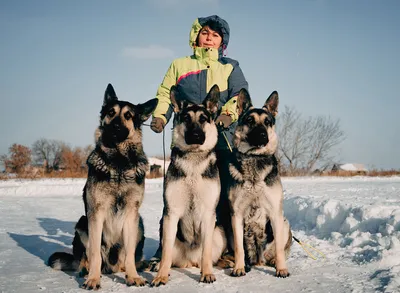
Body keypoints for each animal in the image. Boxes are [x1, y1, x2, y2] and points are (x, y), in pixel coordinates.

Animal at [48, 83, 158, 288]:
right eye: (111, 112)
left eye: (128, 116)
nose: (114, 127)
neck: (119, 164)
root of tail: (110, 267)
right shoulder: (96, 214)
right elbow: (94, 254)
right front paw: (93, 279)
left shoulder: (131, 213)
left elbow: (130, 254)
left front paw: (132, 276)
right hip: (83, 223)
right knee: (87, 257)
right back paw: (85, 271)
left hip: (139, 223)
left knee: (127, 258)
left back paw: (137, 266)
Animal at [150, 84, 227, 286]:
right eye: (186, 118)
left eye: (203, 119)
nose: (196, 135)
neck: (193, 160)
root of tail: (190, 261)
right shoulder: (171, 214)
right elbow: (166, 253)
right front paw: (161, 276)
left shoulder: (208, 214)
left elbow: (206, 251)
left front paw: (206, 273)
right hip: (164, 226)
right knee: (167, 255)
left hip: (219, 232)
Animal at [228, 90, 290, 278]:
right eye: (250, 120)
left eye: (267, 122)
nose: (263, 136)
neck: (254, 159)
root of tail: (258, 260)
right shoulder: (236, 215)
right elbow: (239, 248)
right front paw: (239, 268)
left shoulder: (275, 213)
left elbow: (279, 248)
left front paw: (282, 269)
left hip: (284, 223)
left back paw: (274, 262)